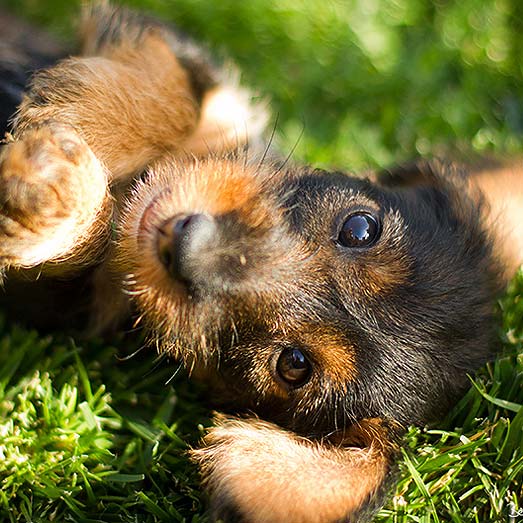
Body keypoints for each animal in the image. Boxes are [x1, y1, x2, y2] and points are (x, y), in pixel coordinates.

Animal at [1, 5, 520, 523]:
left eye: (294, 365)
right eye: (360, 228)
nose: (185, 240)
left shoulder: (67, 304)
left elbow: (83, 254)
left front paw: (48, 195)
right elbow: (182, 92)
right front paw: (77, 124)